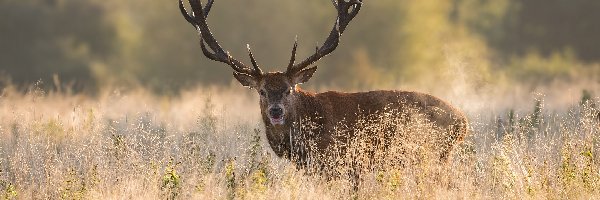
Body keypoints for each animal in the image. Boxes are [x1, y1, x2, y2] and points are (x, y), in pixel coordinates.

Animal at [178, 0, 468, 184]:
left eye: (289, 89)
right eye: (261, 91)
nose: (275, 111)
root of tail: (463, 122)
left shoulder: (344, 164)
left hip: (431, 155)